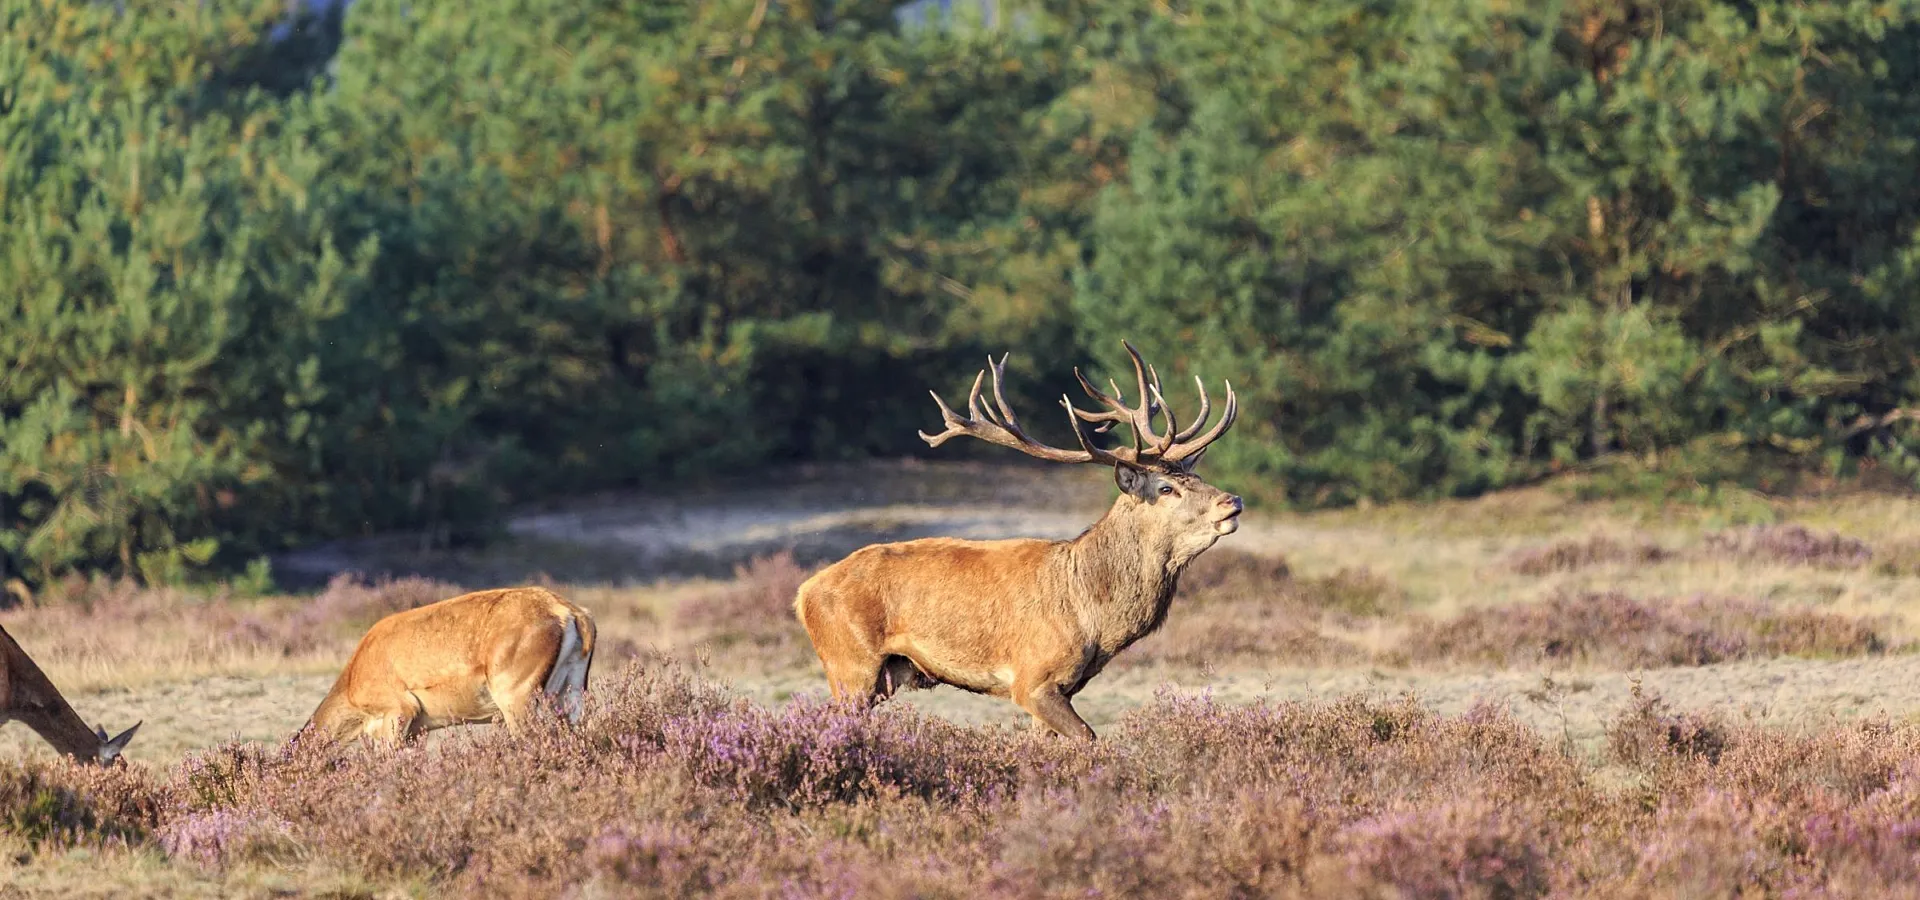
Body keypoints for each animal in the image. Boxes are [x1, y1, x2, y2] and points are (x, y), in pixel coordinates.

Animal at [794, 337, 1244, 736]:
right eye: (1167, 488)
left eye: (1196, 476)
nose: (1232, 501)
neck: (1091, 615)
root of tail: (802, 594)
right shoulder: (1032, 679)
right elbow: (1089, 738)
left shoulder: (1065, 685)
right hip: (851, 664)